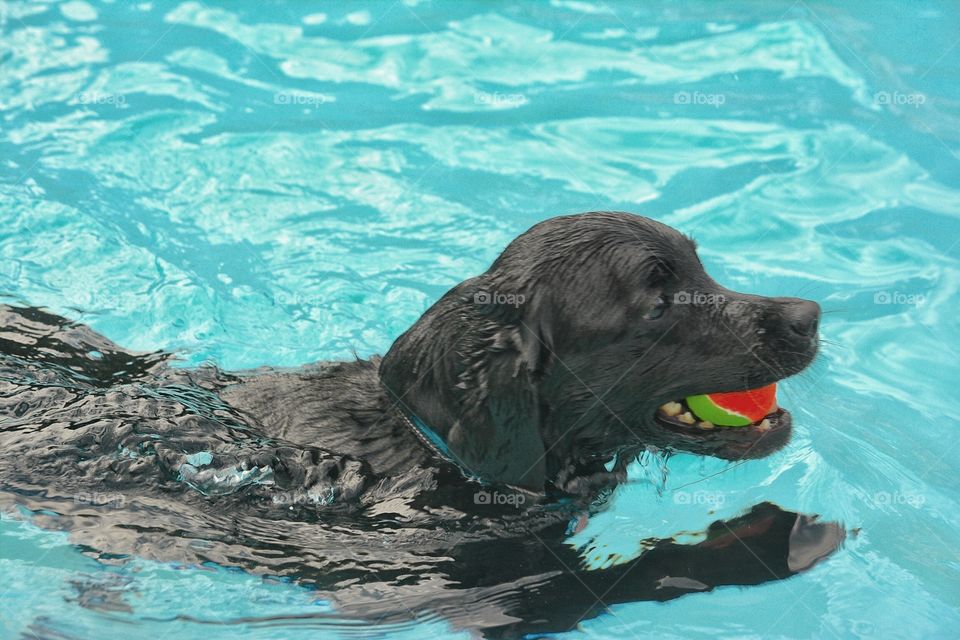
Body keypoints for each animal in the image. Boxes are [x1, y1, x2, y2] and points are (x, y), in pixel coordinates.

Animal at [1, 212, 840, 636]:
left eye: (702, 267)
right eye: (658, 298)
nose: (810, 315)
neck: (429, 451)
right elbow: (629, 577)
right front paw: (773, 541)